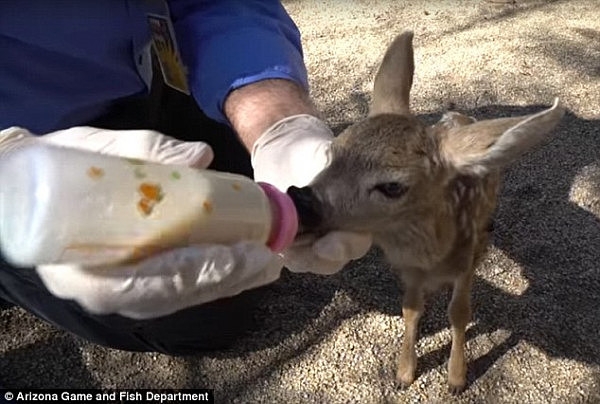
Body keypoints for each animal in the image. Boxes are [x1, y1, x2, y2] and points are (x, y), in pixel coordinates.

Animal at [288, 31, 564, 394]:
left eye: (393, 186)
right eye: (333, 152)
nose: (301, 200)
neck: (431, 256)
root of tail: (459, 118)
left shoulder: (465, 263)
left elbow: (459, 313)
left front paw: (456, 378)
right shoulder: (409, 271)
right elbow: (411, 310)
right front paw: (404, 373)